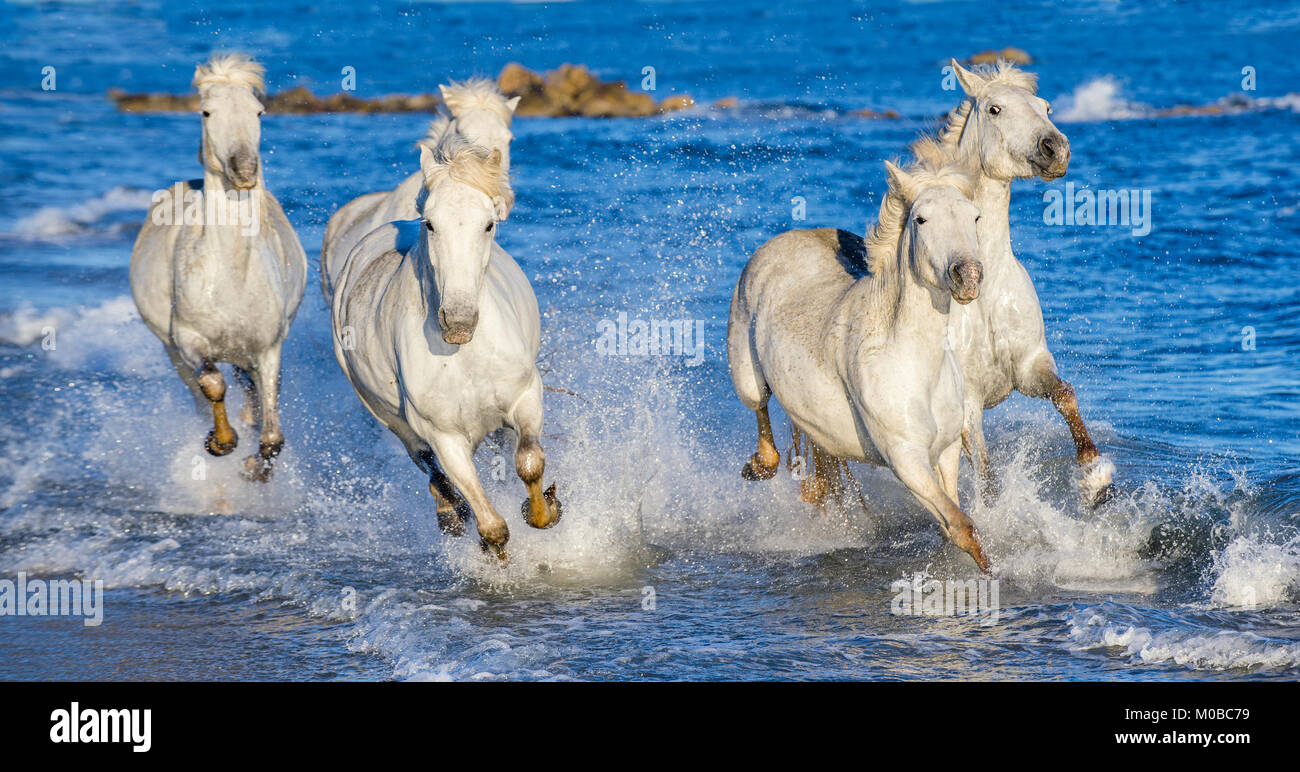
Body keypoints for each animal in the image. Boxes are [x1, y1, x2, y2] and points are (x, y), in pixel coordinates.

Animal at [129, 54, 307, 482]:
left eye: (259, 111)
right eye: (206, 112)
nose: (245, 172)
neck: (232, 276)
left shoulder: (268, 347)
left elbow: (272, 430)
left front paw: (256, 467)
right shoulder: (189, 341)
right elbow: (211, 383)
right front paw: (222, 442)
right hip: (171, 350)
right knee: (201, 392)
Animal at [330, 133, 559, 557]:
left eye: (489, 224)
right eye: (431, 224)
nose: (458, 322)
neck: (465, 356)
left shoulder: (524, 397)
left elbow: (529, 462)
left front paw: (545, 511)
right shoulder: (445, 437)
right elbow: (492, 528)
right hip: (393, 421)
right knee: (427, 465)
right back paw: (449, 512)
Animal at [727, 159, 991, 572]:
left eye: (975, 216)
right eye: (921, 219)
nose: (968, 276)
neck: (914, 362)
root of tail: (781, 240)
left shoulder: (947, 450)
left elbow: (954, 524)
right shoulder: (905, 459)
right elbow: (962, 526)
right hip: (747, 378)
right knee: (761, 411)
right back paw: (758, 465)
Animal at [912, 59, 1114, 505]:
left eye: (1046, 107)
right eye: (995, 109)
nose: (1056, 149)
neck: (982, 294)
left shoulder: (1029, 364)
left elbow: (1065, 394)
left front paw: (1095, 476)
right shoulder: (967, 402)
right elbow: (986, 478)